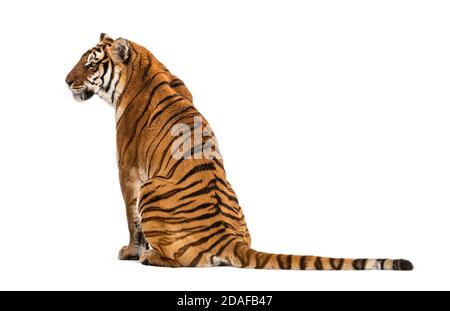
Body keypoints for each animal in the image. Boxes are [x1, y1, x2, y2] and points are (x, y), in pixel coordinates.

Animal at [65, 32, 414, 270]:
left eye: (91, 63)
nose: (67, 81)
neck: (144, 66)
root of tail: (226, 237)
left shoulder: (128, 171)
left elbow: (130, 219)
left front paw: (129, 252)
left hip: (152, 187)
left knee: (180, 260)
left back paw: (149, 257)